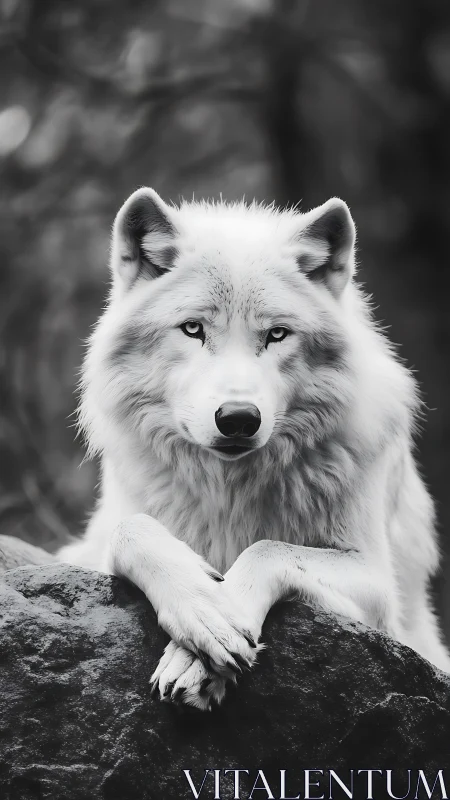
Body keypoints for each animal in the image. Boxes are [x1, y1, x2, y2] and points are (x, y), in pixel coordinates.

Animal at [58, 187, 450, 709]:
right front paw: (204, 609)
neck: (230, 491)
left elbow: (269, 549)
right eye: (193, 329)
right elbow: (130, 531)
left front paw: (208, 638)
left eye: (277, 334)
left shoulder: (378, 587)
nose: (239, 418)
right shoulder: (101, 543)